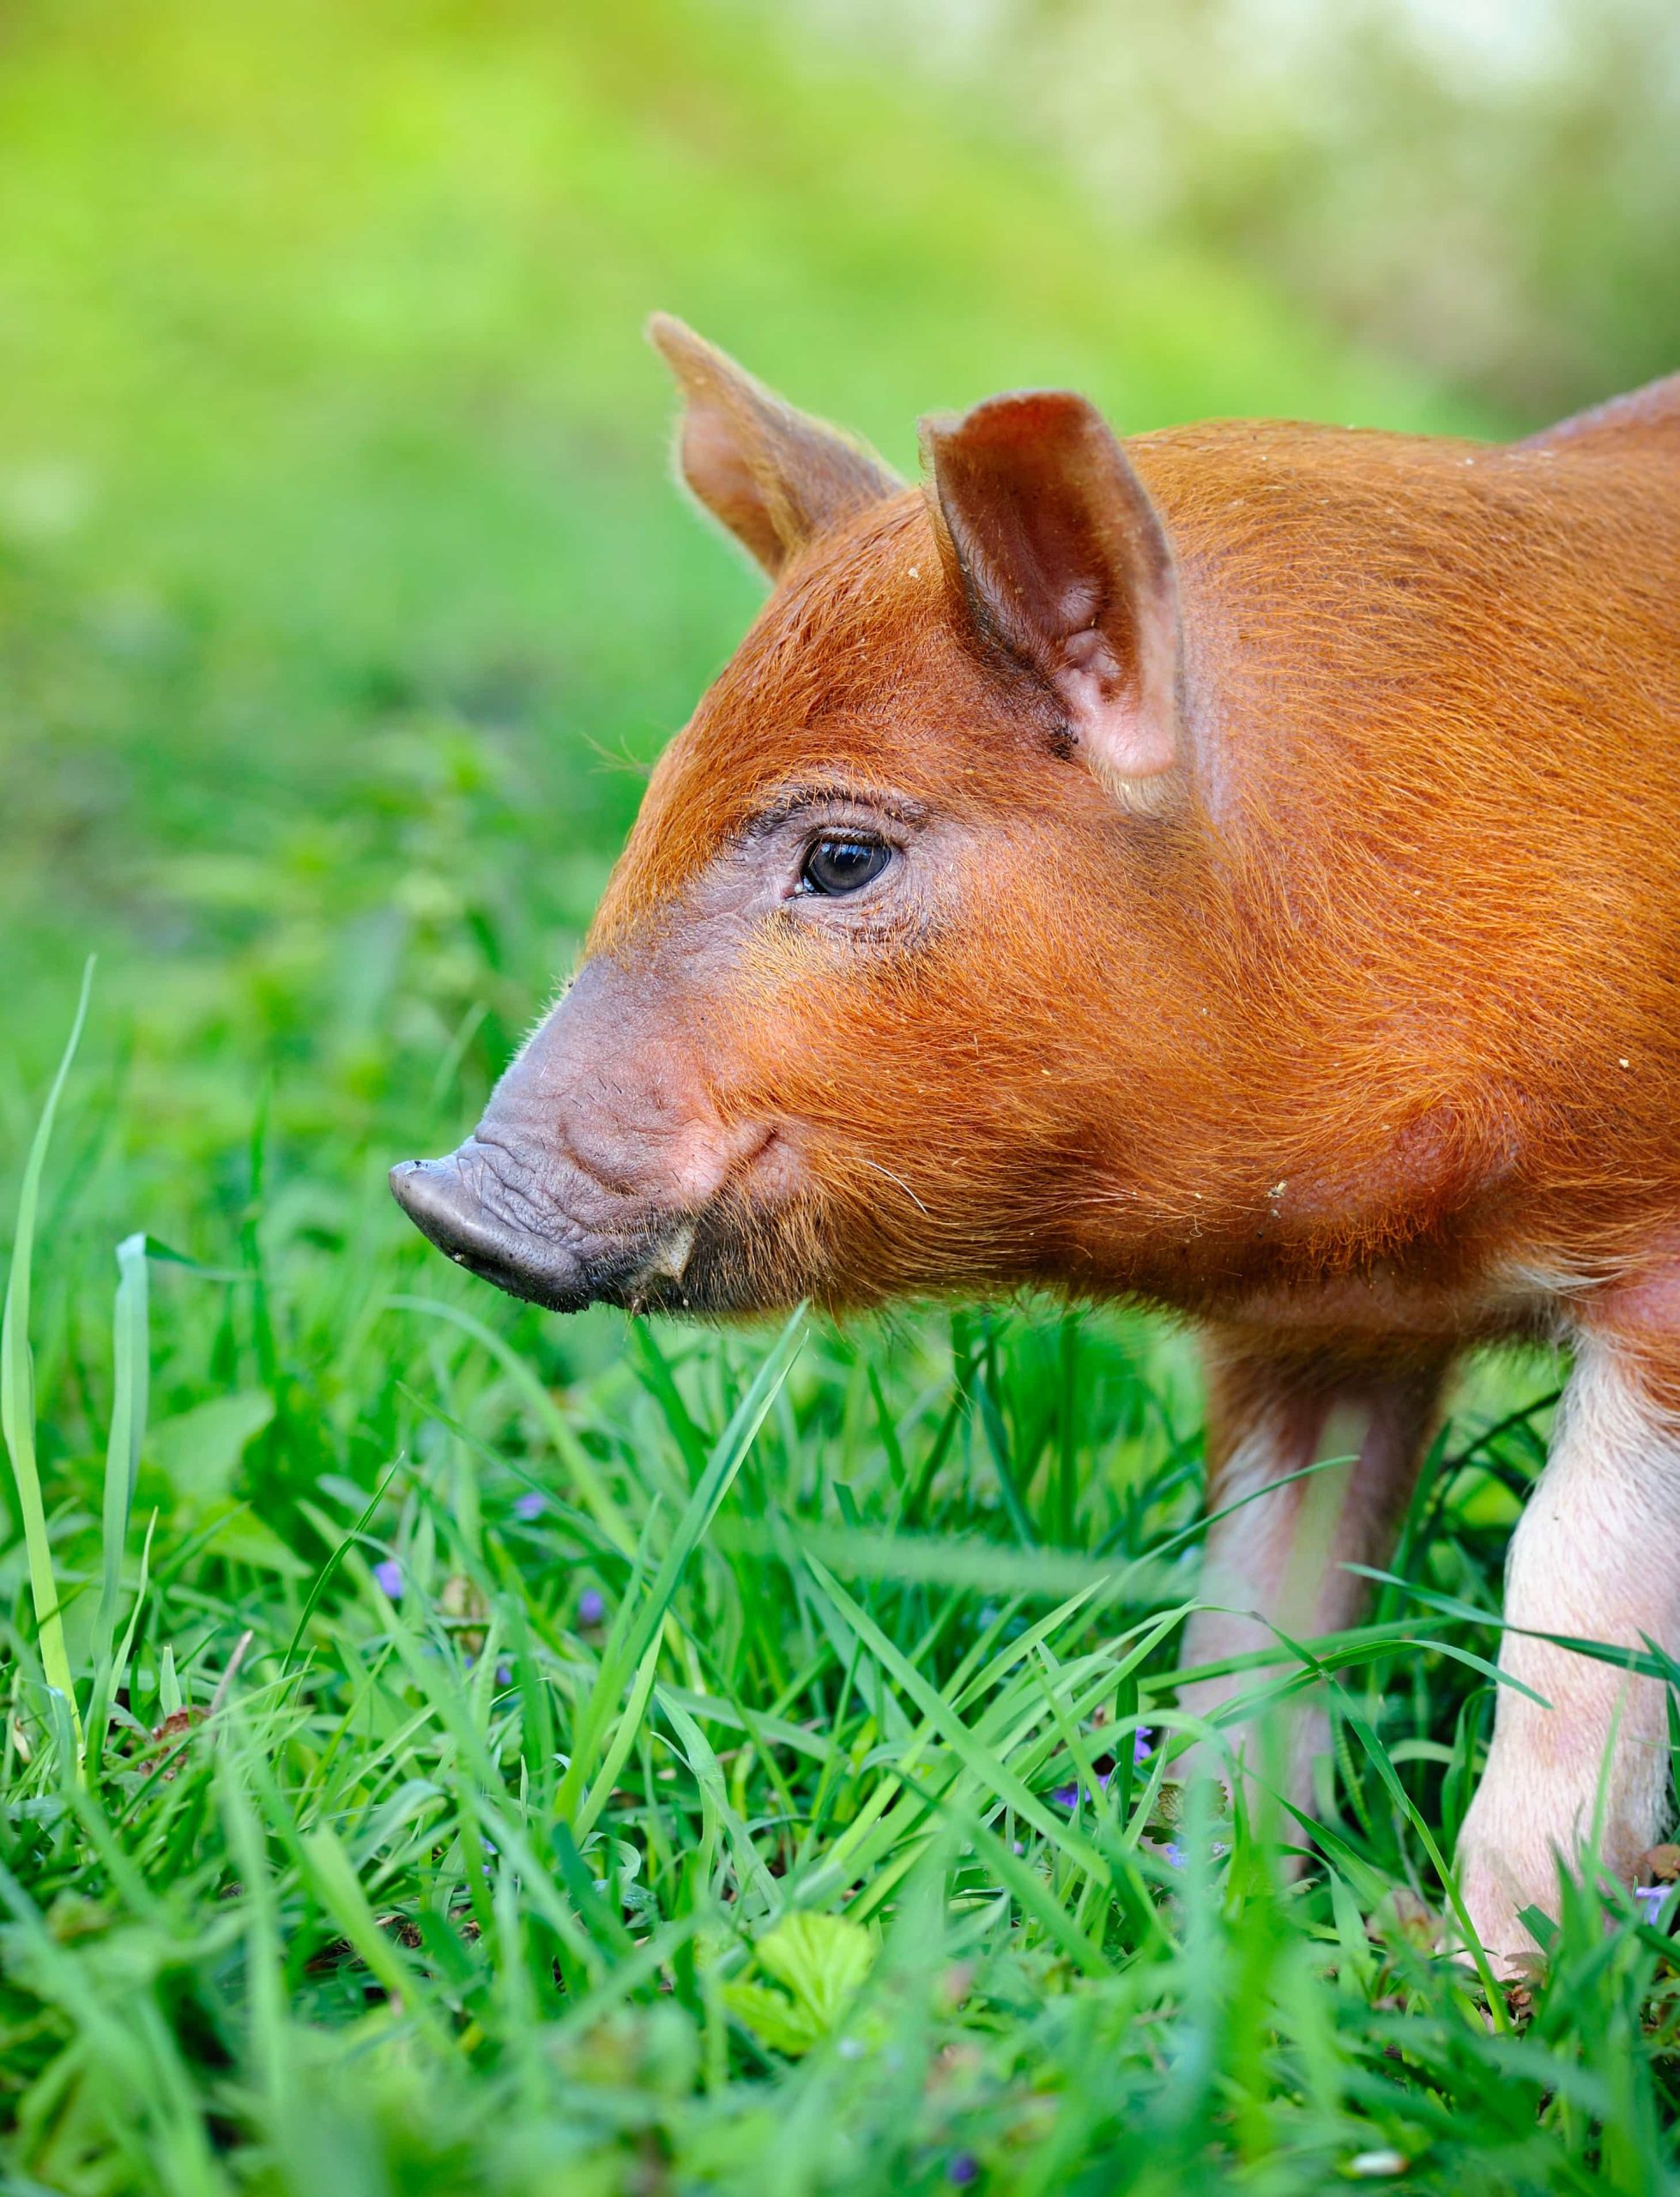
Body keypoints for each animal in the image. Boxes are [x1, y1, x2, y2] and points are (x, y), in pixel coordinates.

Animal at [390, 314, 1677, 1977]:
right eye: (653, 805)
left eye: (842, 856)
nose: (450, 1205)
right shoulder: (1324, 1328)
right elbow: (1256, 1609)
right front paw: (1216, 1909)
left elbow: (1568, 1592)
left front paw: (1487, 1980)